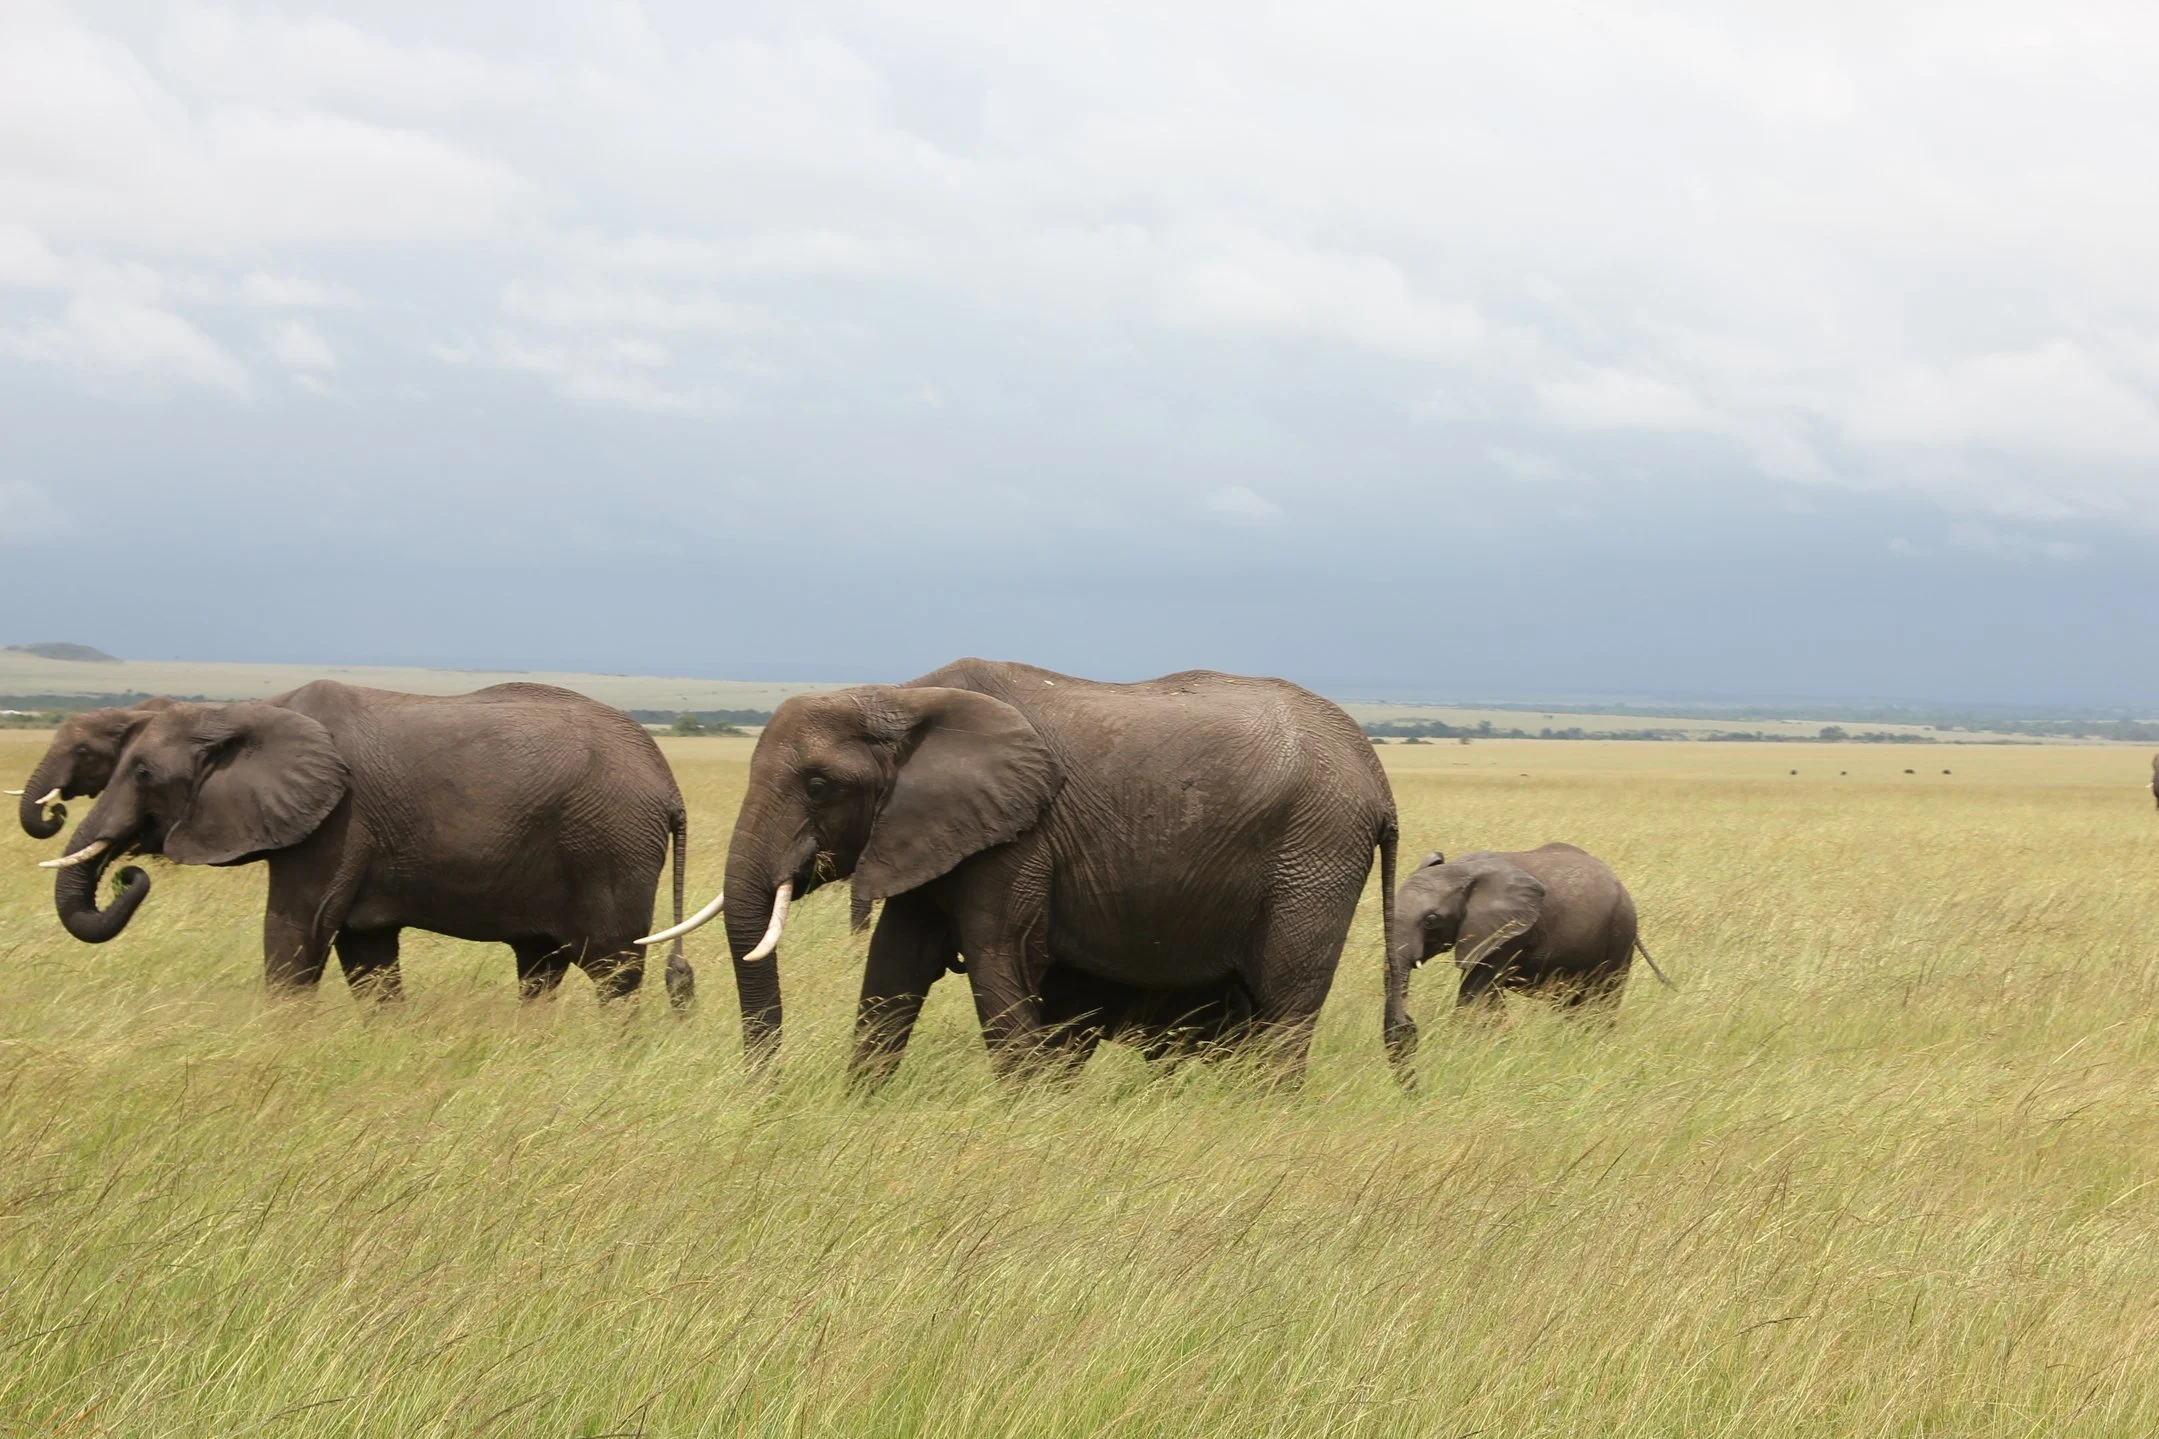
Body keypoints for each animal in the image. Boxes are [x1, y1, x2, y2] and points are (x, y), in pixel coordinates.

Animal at [41, 680, 695, 1004]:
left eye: (143, 773)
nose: (128, 875)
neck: (247, 711)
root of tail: (668, 782)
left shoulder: (338, 821)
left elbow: (296, 935)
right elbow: (367, 957)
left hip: (609, 845)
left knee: (613, 971)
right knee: (540, 968)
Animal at [659, 657, 1398, 1083]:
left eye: (817, 786)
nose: (764, 1094)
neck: (898, 698)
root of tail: (1379, 781)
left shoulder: (1020, 836)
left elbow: (998, 961)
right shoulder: (927, 828)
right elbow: (894, 966)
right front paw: (859, 1106)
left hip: (1316, 853)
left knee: (1285, 1001)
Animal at [1385, 843, 1667, 1049]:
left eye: (1431, 920)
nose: (1408, 1027)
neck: (1462, 869)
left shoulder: (1510, 931)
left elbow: (1477, 989)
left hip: (1620, 934)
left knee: (1604, 997)